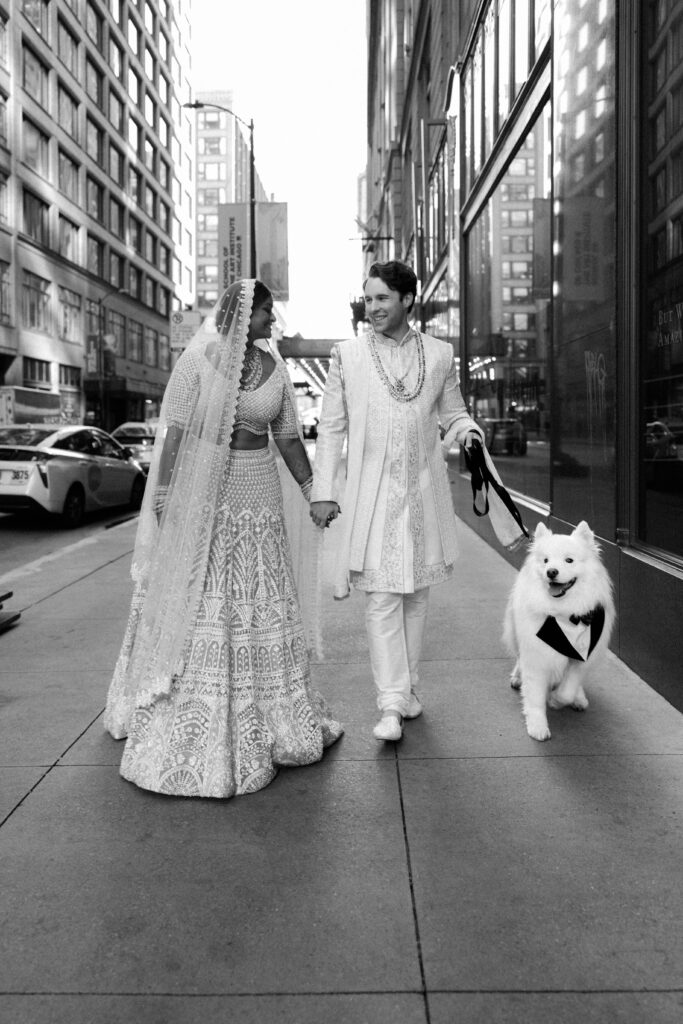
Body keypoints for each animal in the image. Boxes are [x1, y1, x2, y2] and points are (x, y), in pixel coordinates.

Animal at [501, 524, 614, 741]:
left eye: (569, 560)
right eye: (545, 560)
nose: (551, 571)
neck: (565, 615)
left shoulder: (581, 657)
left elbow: (567, 690)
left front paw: (556, 700)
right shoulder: (536, 656)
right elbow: (535, 697)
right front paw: (537, 726)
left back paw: (579, 698)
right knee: (519, 659)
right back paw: (517, 678)